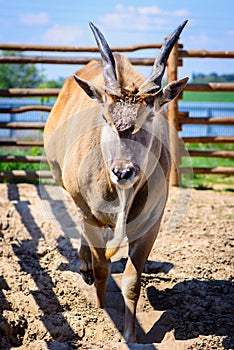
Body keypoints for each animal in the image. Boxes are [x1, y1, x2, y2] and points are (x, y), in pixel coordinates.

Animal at [44, 21, 189, 342]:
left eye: (150, 116)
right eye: (106, 117)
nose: (123, 172)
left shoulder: (151, 224)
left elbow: (132, 282)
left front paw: (130, 336)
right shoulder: (90, 214)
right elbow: (102, 269)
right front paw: (101, 312)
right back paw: (84, 264)